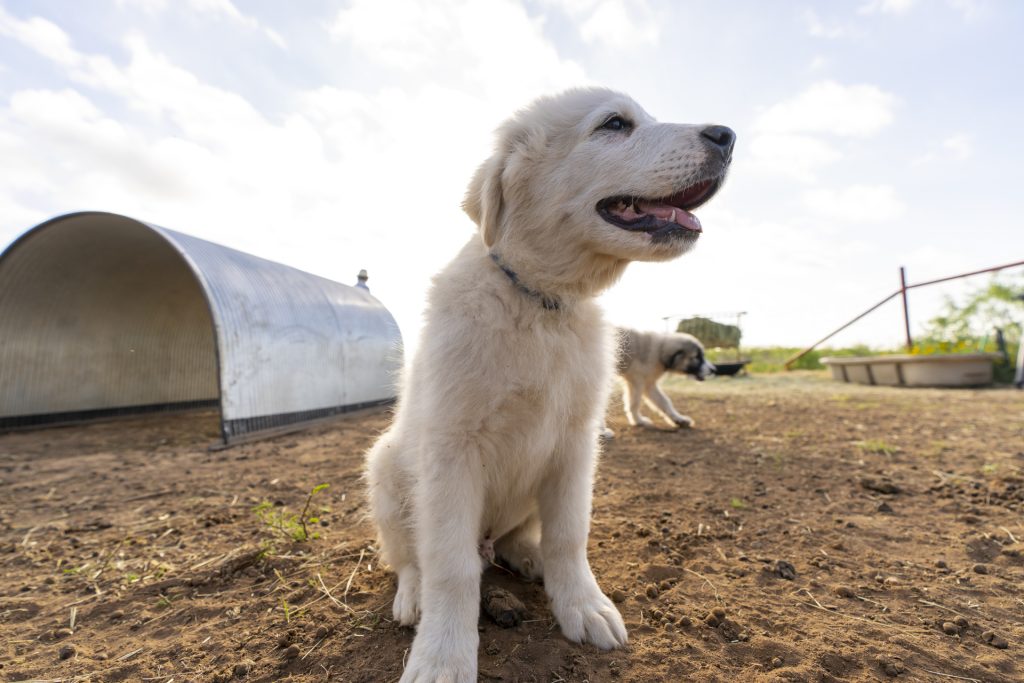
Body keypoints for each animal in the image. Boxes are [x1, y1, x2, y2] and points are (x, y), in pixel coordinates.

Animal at [364, 89, 733, 683]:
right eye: (615, 124)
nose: (727, 136)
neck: (543, 304)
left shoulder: (577, 445)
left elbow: (569, 536)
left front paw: (583, 604)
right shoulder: (450, 451)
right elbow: (450, 566)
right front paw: (442, 656)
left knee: (516, 539)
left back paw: (529, 558)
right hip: (384, 466)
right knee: (410, 557)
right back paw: (414, 595)